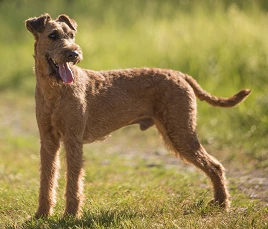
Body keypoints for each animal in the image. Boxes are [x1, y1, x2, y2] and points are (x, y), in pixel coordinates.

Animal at [26, 13, 250, 217]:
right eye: (53, 35)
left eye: (71, 35)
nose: (74, 53)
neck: (54, 92)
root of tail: (181, 75)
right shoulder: (48, 140)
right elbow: (47, 178)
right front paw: (41, 214)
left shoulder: (73, 139)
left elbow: (73, 181)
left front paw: (70, 215)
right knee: (214, 165)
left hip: (181, 132)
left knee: (215, 166)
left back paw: (221, 204)